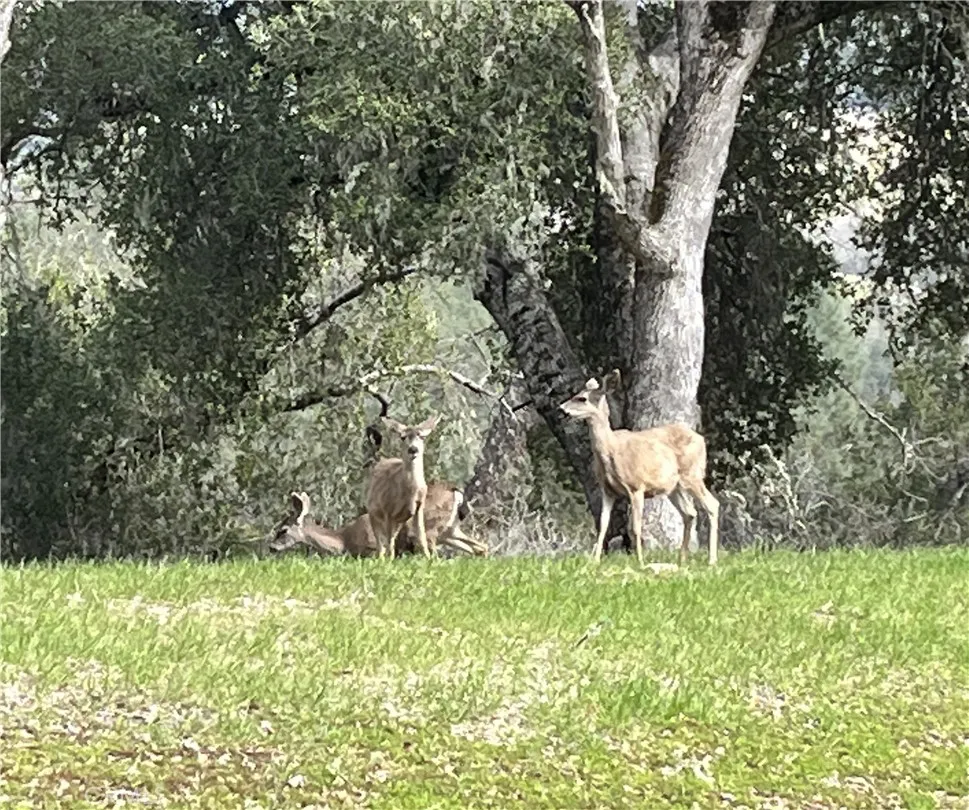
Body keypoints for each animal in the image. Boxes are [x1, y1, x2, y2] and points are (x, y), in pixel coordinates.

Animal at [366, 414, 440, 560]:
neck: (410, 491)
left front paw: (429, 559)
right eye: (402, 437)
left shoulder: (419, 507)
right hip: (373, 512)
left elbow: (422, 537)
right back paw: (381, 559)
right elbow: (388, 543)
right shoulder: (387, 510)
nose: (413, 449)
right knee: (380, 543)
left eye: (422, 436)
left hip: (399, 521)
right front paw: (389, 561)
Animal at [559, 370, 720, 567]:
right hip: (674, 487)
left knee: (712, 505)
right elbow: (603, 525)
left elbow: (635, 527)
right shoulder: (607, 490)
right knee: (690, 513)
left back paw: (711, 560)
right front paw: (595, 561)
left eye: (582, 398)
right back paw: (682, 560)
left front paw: (640, 562)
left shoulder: (636, 487)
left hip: (692, 474)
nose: (561, 408)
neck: (611, 450)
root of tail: (701, 439)